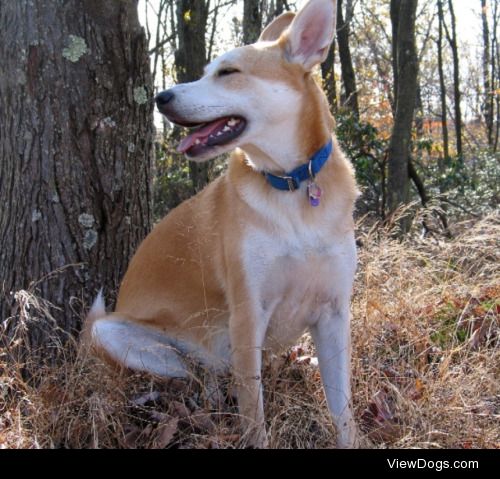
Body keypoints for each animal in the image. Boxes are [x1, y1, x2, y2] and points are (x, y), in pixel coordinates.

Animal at [84, 0, 358, 450]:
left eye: (228, 73)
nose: (161, 97)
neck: (292, 185)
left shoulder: (334, 316)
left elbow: (342, 410)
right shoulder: (248, 315)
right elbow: (254, 413)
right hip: (119, 337)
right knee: (195, 373)